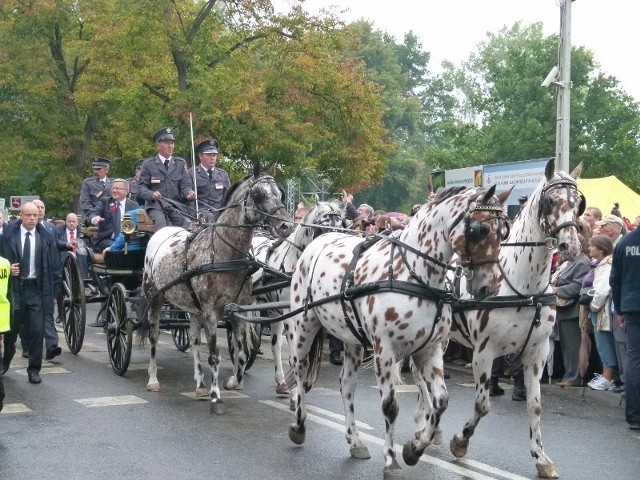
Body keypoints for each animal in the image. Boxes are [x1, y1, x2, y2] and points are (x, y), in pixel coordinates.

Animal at [141, 164, 292, 412]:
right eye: (259, 194)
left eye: (280, 193)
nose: (285, 226)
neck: (223, 253)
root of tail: (160, 233)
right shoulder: (211, 312)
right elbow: (214, 356)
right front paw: (216, 396)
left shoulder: (237, 310)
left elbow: (241, 352)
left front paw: (233, 382)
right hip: (155, 298)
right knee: (153, 337)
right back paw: (153, 379)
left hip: (192, 308)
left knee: (193, 340)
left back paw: (200, 384)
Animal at [284, 185, 510, 480]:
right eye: (479, 230)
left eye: (503, 232)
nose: (489, 288)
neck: (415, 274)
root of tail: (317, 242)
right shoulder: (385, 351)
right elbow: (390, 407)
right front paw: (391, 460)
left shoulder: (430, 349)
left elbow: (440, 401)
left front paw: (414, 448)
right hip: (303, 326)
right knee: (300, 373)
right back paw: (298, 425)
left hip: (351, 339)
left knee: (346, 385)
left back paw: (355, 440)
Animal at [444, 159, 584, 478]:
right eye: (550, 201)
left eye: (578, 202)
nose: (570, 246)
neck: (522, 287)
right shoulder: (484, 352)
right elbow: (482, 405)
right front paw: (460, 441)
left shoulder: (537, 354)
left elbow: (534, 407)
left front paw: (541, 458)